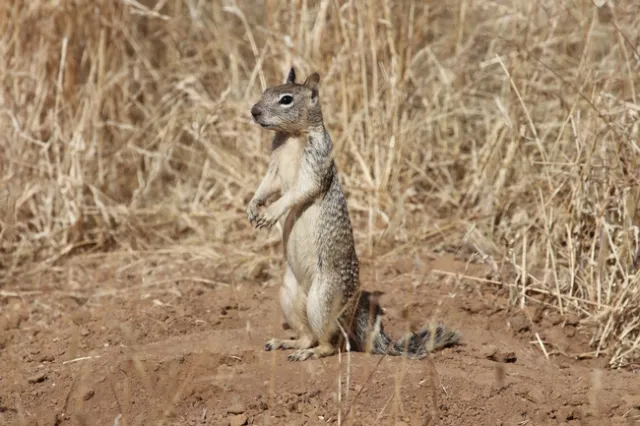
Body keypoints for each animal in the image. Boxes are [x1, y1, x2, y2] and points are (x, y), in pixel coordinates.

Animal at [247, 67, 460, 361]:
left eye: (286, 99)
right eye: (266, 91)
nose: (254, 111)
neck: (291, 137)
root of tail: (352, 305)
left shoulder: (317, 164)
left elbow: (298, 192)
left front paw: (271, 212)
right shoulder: (274, 170)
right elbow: (268, 185)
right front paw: (254, 205)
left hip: (322, 300)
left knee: (330, 342)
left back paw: (311, 353)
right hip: (288, 296)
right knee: (307, 336)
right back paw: (286, 343)